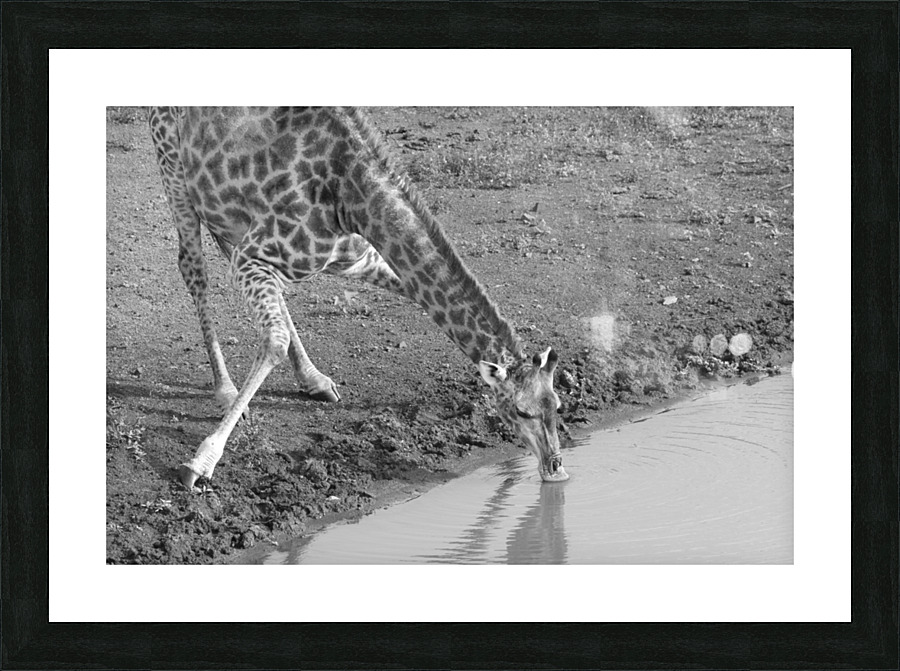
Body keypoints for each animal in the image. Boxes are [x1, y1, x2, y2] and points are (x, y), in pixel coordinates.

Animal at [148, 106, 569, 489]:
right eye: (522, 412)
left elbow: (419, 294)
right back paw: (226, 391)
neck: (352, 198)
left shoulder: (353, 259)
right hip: (171, 159)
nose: (556, 468)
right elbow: (274, 341)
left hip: (229, 212)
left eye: (557, 405)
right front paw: (201, 462)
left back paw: (314, 380)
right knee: (194, 269)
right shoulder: (252, 257)